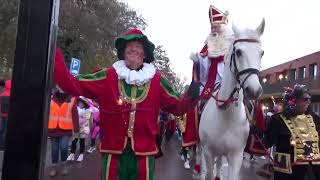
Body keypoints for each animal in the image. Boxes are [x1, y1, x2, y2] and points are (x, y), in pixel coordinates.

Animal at [195, 18, 264, 180]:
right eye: (238, 52)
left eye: (262, 53)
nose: (254, 90)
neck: (225, 114)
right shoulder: (209, 152)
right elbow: (208, 173)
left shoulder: (236, 156)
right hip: (203, 148)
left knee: (220, 163)